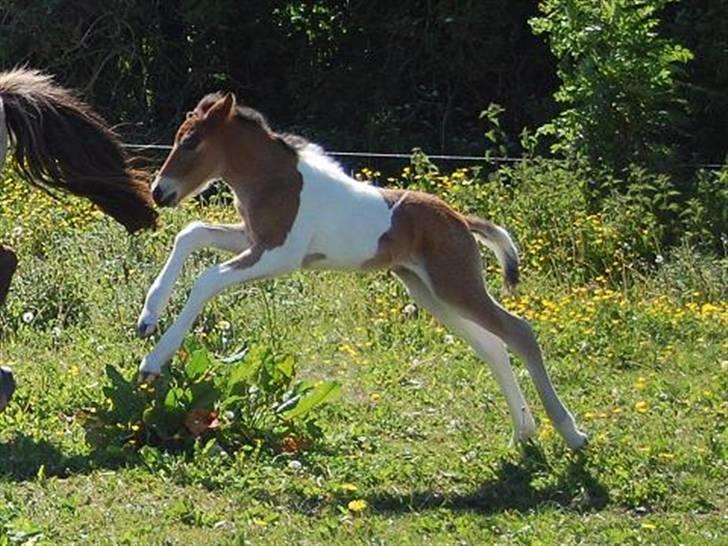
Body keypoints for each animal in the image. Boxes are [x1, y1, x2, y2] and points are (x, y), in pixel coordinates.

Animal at [139, 93, 588, 448]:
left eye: (191, 142)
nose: (159, 192)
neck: (275, 182)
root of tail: (461, 219)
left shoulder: (278, 254)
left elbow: (207, 278)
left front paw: (153, 360)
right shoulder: (252, 239)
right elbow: (192, 232)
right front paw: (147, 317)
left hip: (455, 285)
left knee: (519, 332)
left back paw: (571, 433)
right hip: (431, 292)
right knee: (493, 345)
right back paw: (523, 432)